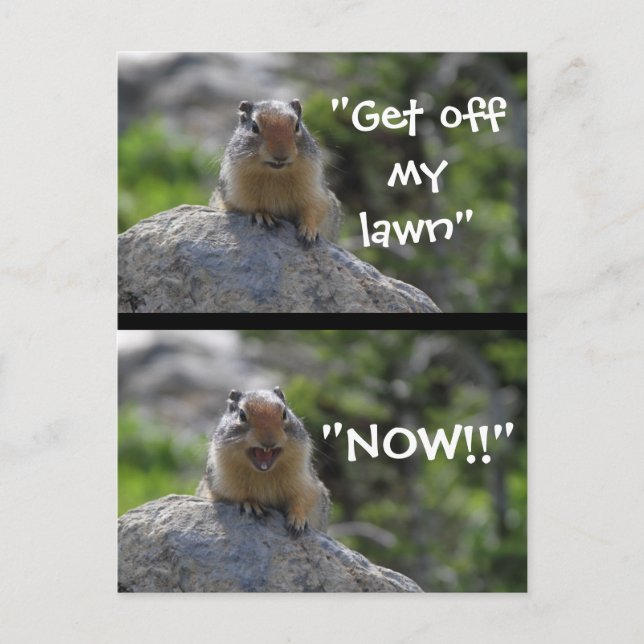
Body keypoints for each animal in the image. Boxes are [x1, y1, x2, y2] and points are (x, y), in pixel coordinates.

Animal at [196, 387, 330, 537]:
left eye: (285, 413)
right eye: (242, 415)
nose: (269, 441)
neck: (264, 474)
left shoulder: (305, 479)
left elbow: (303, 497)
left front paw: (297, 520)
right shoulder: (221, 480)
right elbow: (235, 494)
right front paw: (251, 504)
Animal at [209, 99, 343, 247]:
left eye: (297, 126)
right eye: (254, 127)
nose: (281, 155)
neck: (275, 174)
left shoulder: (315, 187)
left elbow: (315, 208)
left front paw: (309, 231)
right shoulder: (234, 191)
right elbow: (246, 206)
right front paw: (263, 215)